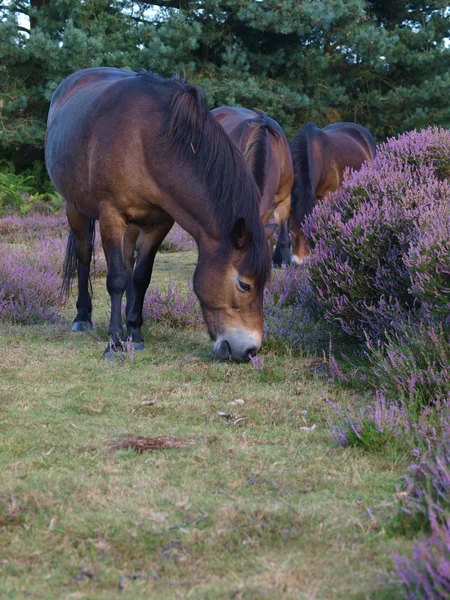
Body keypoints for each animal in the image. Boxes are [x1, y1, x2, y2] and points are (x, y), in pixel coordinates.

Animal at [45, 68, 272, 364]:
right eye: (244, 285)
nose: (249, 351)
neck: (146, 140)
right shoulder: (111, 215)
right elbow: (116, 278)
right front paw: (114, 342)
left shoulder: (160, 222)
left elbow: (141, 276)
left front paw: (135, 333)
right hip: (75, 208)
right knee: (84, 255)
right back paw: (83, 317)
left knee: (129, 262)